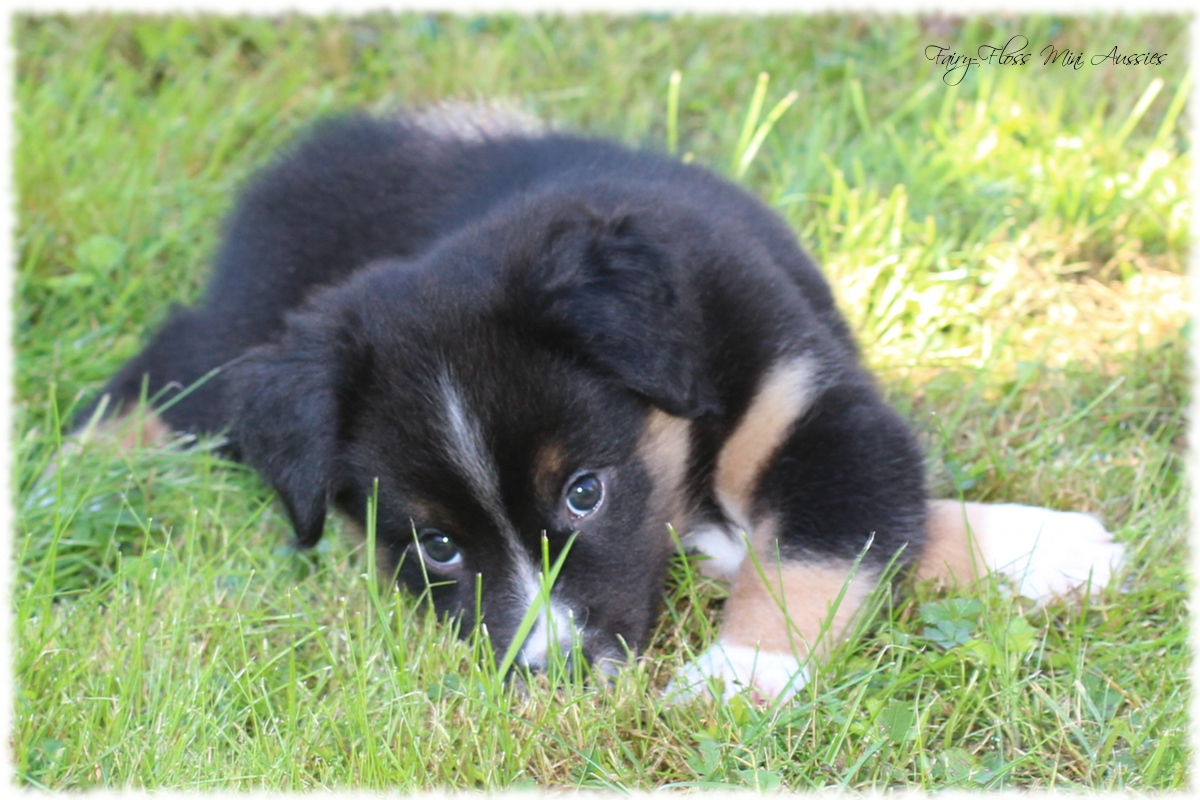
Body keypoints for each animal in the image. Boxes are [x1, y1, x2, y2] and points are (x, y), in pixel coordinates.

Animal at [77, 110, 1123, 700]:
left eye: (584, 493)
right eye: (438, 546)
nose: (558, 678)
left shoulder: (808, 405)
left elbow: (833, 540)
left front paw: (736, 678)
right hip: (249, 335)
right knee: (176, 364)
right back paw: (80, 469)